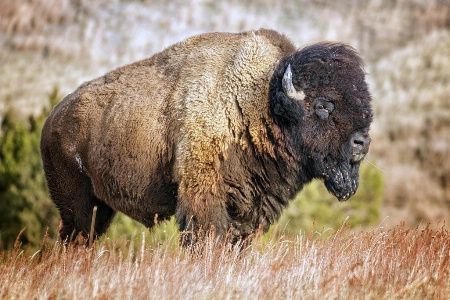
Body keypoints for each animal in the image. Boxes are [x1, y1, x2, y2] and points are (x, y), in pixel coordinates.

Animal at [41, 29, 372, 246]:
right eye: (323, 105)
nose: (362, 142)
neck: (259, 102)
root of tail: (53, 119)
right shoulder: (203, 194)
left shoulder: (252, 207)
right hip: (77, 205)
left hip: (100, 208)